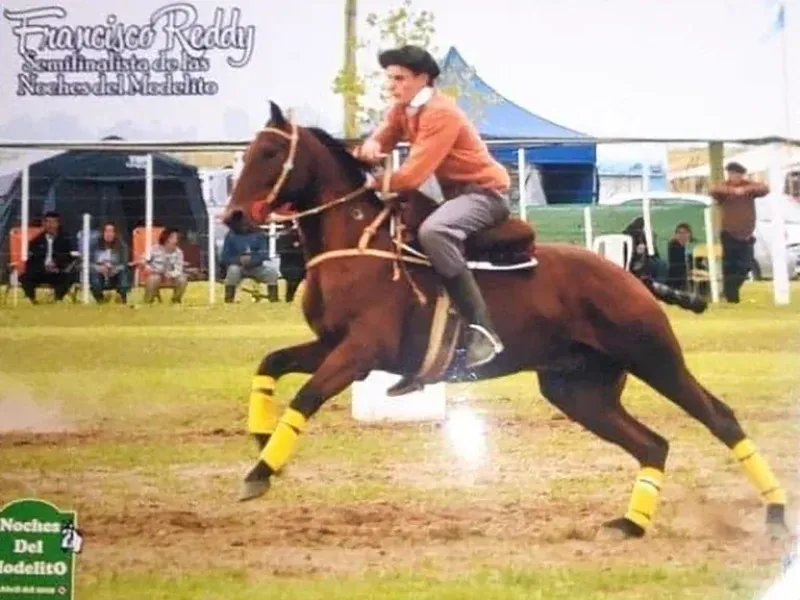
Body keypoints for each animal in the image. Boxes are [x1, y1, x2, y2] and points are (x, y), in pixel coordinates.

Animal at [220, 103, 788, 540]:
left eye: (270, 153)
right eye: (244, 154)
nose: (233, 217)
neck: (357, 243)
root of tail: (631, 274)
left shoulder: (361, 351)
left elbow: (306, 396)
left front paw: (260, 470)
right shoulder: (331, 344)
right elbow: (271, 364)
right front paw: (260, 439)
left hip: (654, 357)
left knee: (720, 418)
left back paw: (776, 513)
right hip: (579, 391)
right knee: (654, 444)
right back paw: (630, 524)